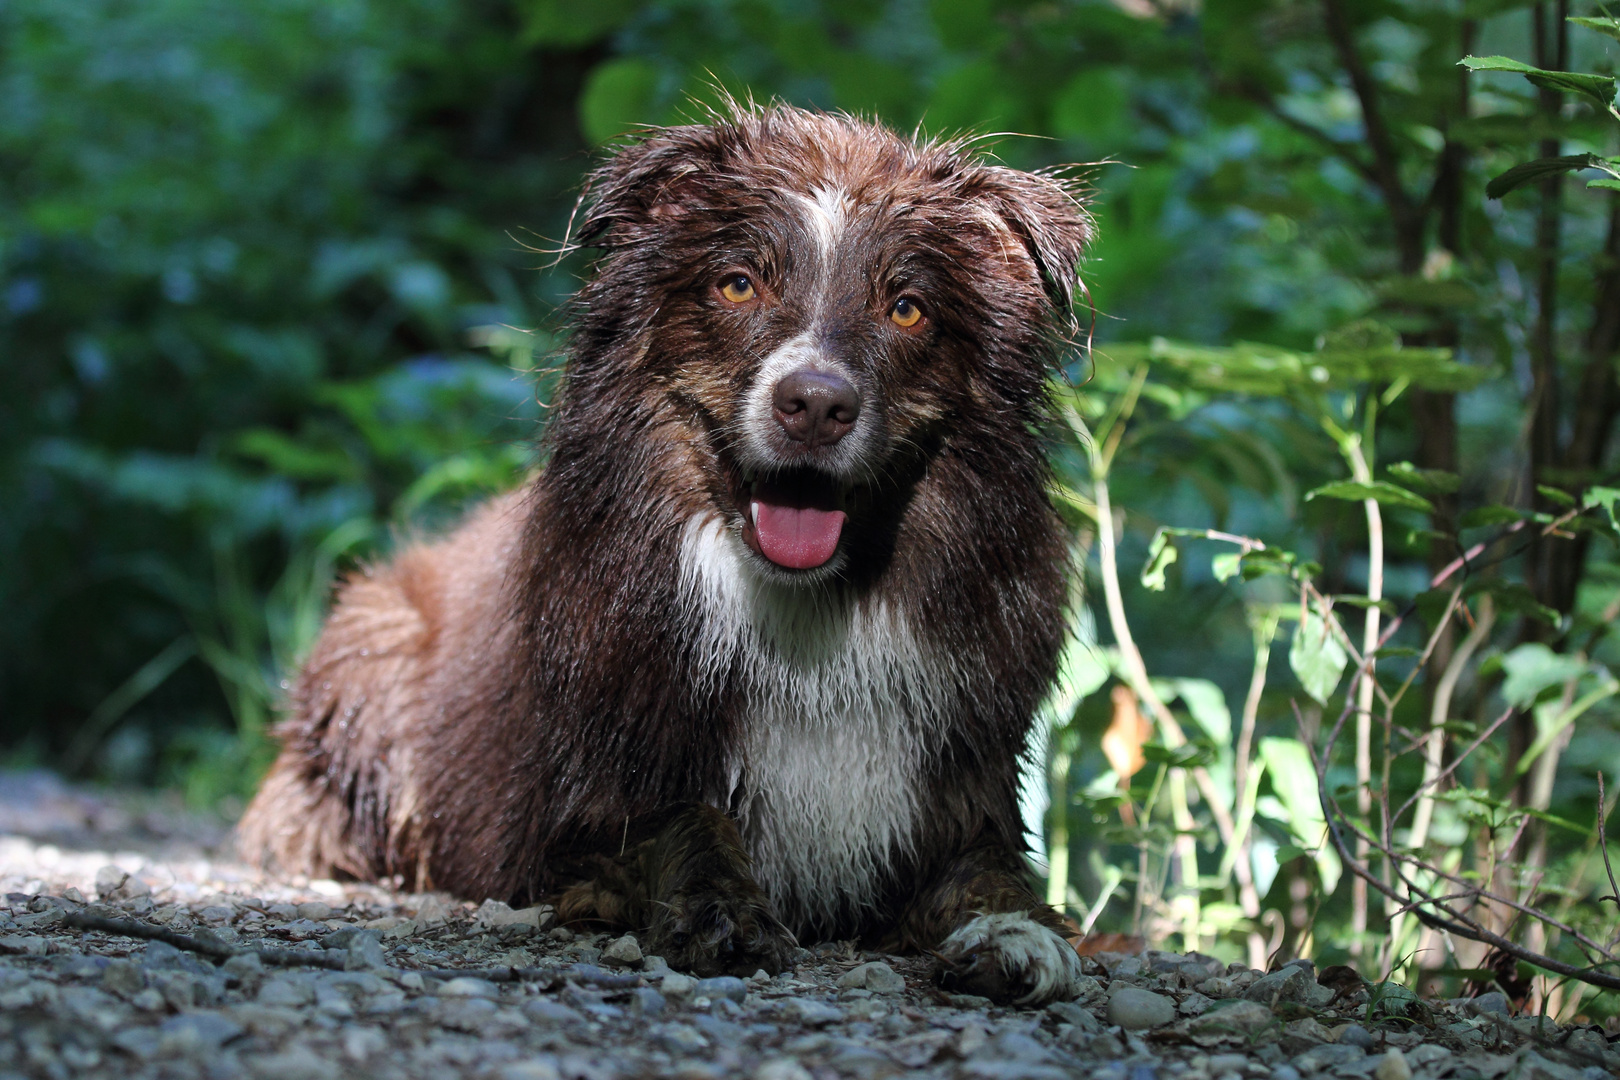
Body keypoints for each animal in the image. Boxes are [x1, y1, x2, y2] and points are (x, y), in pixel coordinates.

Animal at [239, 103, 1095, 1003]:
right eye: (738, 284)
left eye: (907, 308)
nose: (815, 405)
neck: (805, 608)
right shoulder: (569, 819)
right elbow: (685, 819)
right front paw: (723, 910)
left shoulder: (962, 786)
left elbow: (992, 870)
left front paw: (1018, 936)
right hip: (372, 641)